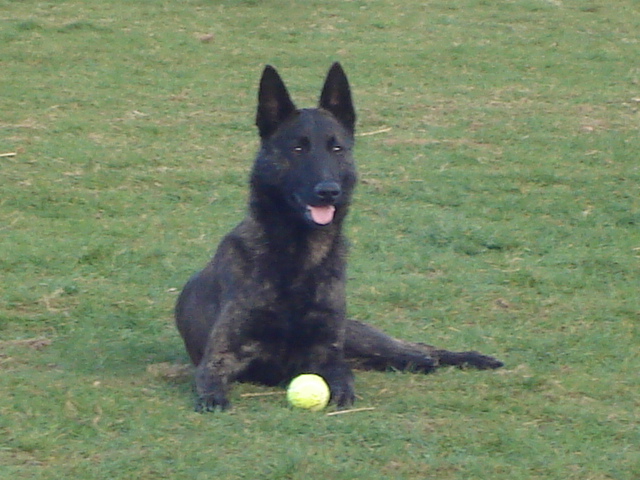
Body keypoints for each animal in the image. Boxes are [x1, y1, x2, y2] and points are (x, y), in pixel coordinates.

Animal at [175, 63, 503, 412]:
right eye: (298, 147)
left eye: (336, 148)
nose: (328, 191)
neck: (299, 257)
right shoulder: (221, 353)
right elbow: (211, 375)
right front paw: (214, 399)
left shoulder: (328, 353)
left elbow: (343, 377)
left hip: (363, 338)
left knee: (420, 348)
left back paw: (470, 358)